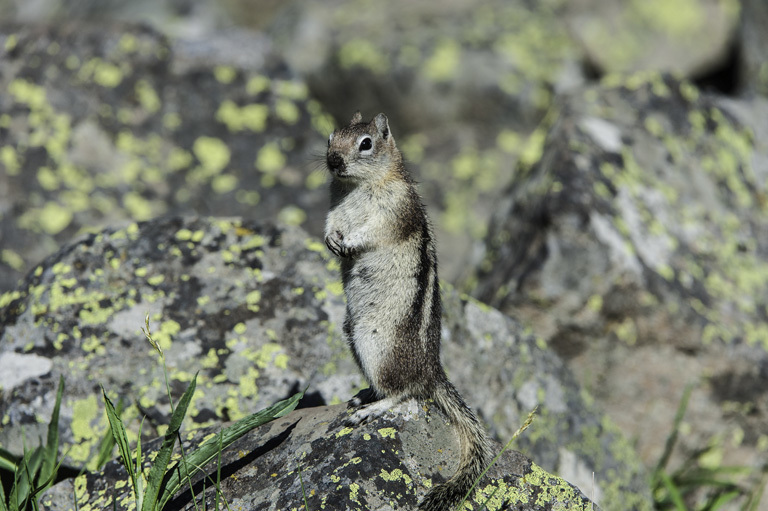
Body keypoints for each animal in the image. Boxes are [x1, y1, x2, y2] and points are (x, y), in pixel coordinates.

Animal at [324, 112, 492, 511]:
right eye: (330, 138)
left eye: (366, 143)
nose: (333, 161)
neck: (356, 186)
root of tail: (432, 371)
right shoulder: (334, 208)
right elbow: (329, 223)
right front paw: (331, 240)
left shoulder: (394, 210)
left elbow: (373, 231)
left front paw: (350, 242)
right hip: (353, 335)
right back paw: (364, 395)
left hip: (377, 345)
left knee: (406, 394)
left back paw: (371, 409)